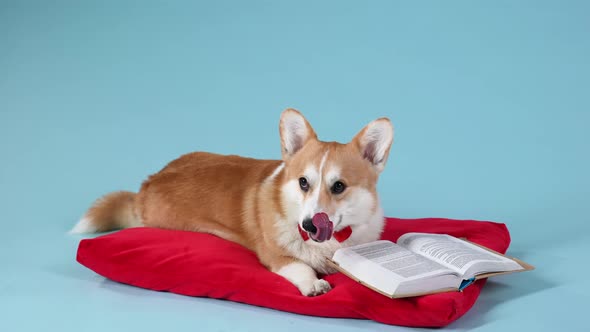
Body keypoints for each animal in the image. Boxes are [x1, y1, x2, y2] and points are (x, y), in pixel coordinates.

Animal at [74, 109, 396, 296]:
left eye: (338, 186)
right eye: (303, 182)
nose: (308, 225)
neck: (329, 243)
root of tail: (146, 185)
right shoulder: (275, 256)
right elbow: (299, 266)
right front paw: (314, 284)